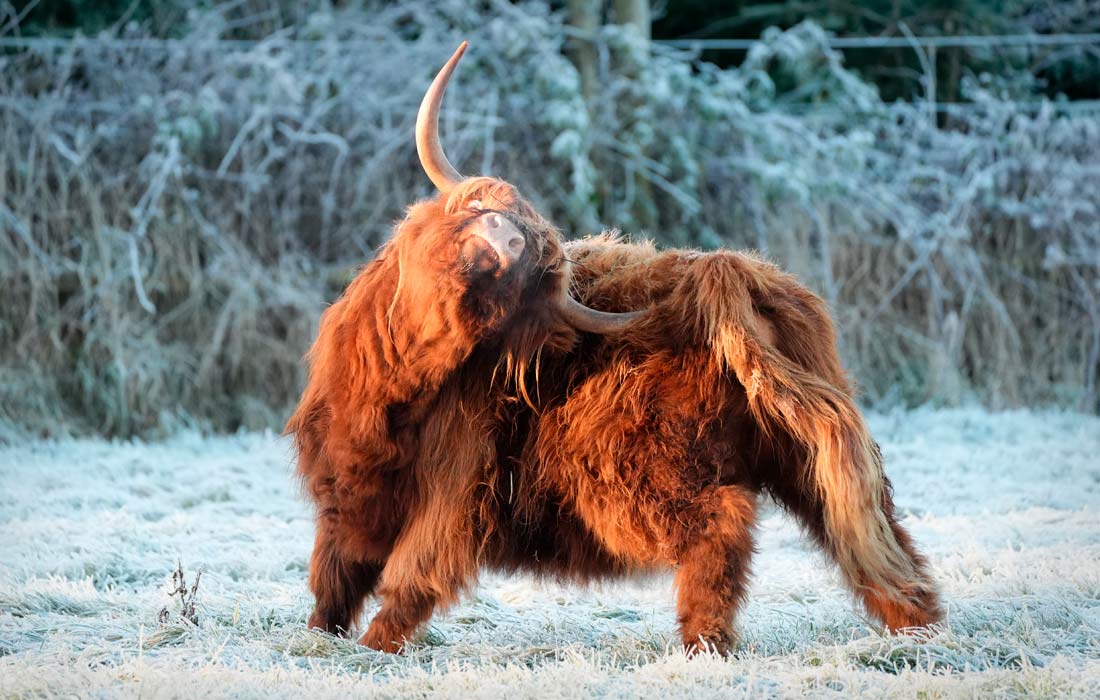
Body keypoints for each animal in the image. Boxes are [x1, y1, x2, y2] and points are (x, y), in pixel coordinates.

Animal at [288, 43, 941, 655]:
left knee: (723, 523)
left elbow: (413, 571)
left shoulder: (453, 489)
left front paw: (377, 645)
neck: (394, 391)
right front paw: (322, 635)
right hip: (806, 451)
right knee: (871, 527)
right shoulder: (345, 493)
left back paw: (703, 641)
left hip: (645, 471)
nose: (508, 239)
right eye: (481, 207)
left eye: (531, 269)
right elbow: (333, 570)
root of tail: (733, 275)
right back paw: (919, 625)